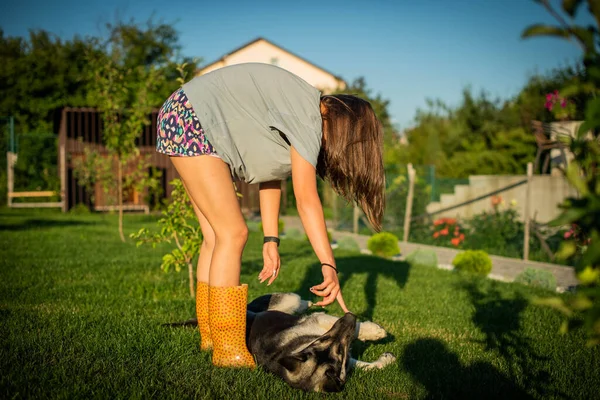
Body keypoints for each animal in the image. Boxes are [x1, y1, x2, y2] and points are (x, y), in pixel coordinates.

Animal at [170, 292, 394, 392]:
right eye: (326, 340)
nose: (349, 315)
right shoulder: (322, 323)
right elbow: (353, 334)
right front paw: (375, 332)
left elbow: (364, 365)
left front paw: (385, 359)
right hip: (290, 300)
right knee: (300, 302)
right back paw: (309, 303)